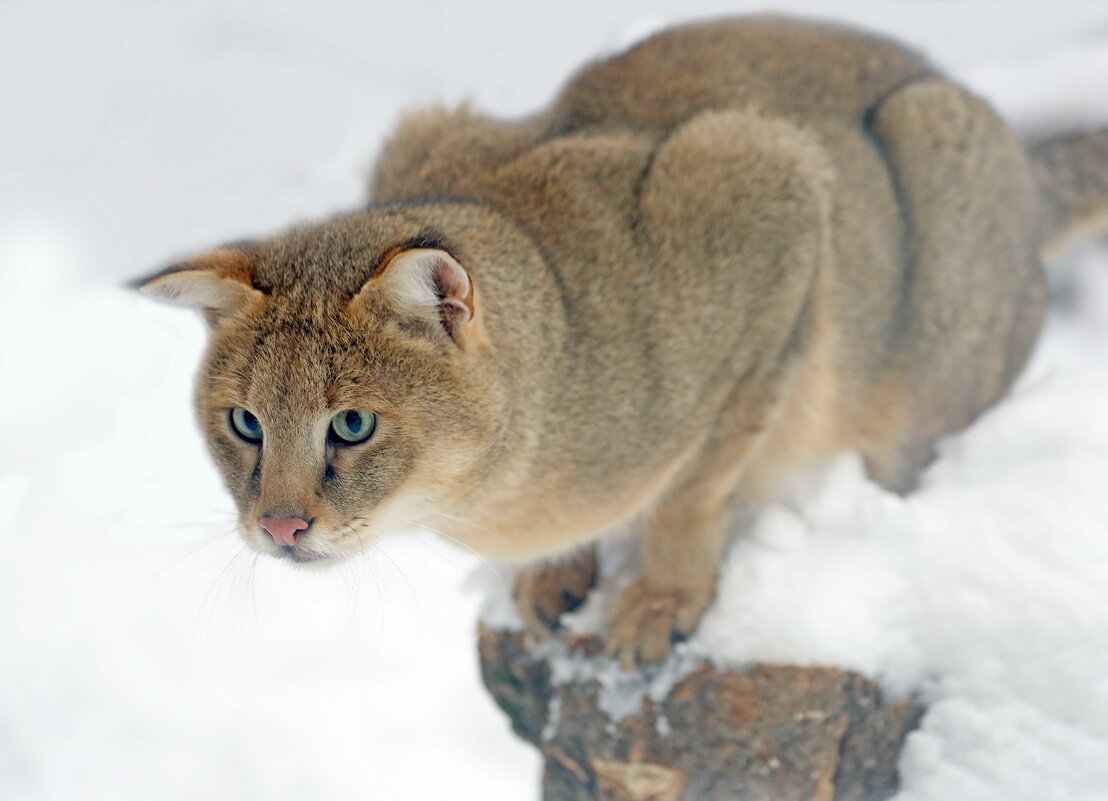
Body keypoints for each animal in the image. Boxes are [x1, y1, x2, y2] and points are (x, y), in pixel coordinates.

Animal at [134, 15, 1103, 669]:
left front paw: (661, 602)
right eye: (246, 423)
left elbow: (691, 493)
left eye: (352, 425)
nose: (279, 524)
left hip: (930, 161)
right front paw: (557, 575)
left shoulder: (774, 202)